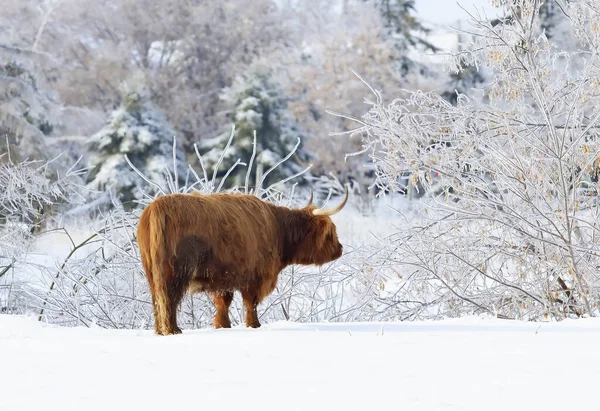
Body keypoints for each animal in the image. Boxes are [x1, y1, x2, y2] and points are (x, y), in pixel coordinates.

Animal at [135, 188, 346, 336]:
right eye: (331, 233)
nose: (340, 249)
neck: (278, 229)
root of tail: (157, 206)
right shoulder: (255, 276)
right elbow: (250, 302)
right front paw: (254, 325)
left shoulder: (223, 277)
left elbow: (223, 303)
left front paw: (223, 325)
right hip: (176, 271)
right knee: (169, 298)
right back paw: (172, 330)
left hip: (151, 273)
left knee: (156, 300)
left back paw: (159, 330)